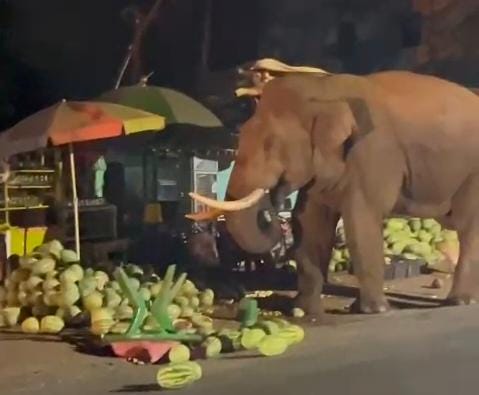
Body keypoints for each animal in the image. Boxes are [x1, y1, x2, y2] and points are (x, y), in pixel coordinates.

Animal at [188, 69, 479, 320]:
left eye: (270, 144)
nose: (274, 204)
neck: (325, 89)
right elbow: (310, 223)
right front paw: (303, 309)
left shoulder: (374, 153)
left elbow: (361, 223)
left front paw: (373, 310)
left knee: (468, 228)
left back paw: (461, 301)